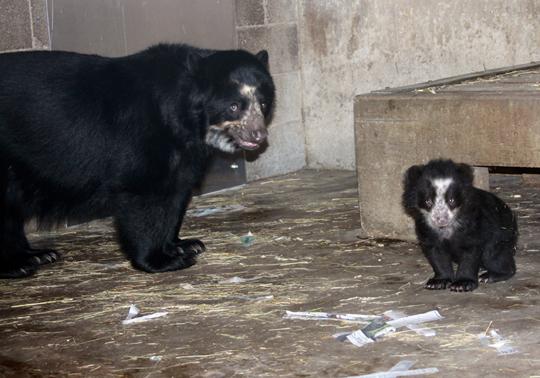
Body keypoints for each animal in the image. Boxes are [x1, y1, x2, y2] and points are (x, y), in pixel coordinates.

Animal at [0, 45, 276, 280]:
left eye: (263, 103)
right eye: (234, 106)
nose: (259, 136)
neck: (183, 119)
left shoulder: (184, 155)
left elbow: (175, 197)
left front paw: (183, 245)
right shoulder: (140, 136)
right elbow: (142, 194)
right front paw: (160, 261)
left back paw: (37, 255)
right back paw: (20, 264)